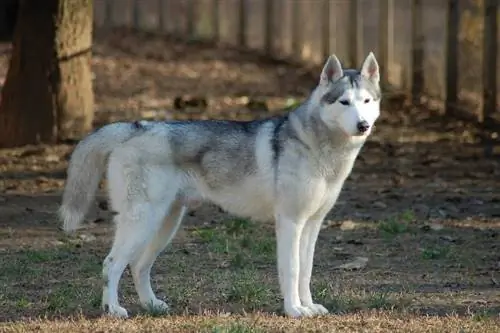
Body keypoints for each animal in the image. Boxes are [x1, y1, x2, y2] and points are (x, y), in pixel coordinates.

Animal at [60, 52, 382, 316]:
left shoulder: (312, 224)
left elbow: (305, 271)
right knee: (111, 263)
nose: (363, 125)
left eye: (366, 101)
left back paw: (151, 305)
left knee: (138, 266)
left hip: (165, 224)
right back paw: (112, 309)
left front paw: (309, 306)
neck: (321, 149)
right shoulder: (290, 222)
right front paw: (293, 310)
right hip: (142, 222)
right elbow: (291, 271)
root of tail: (136, 126)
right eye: (344, 102)